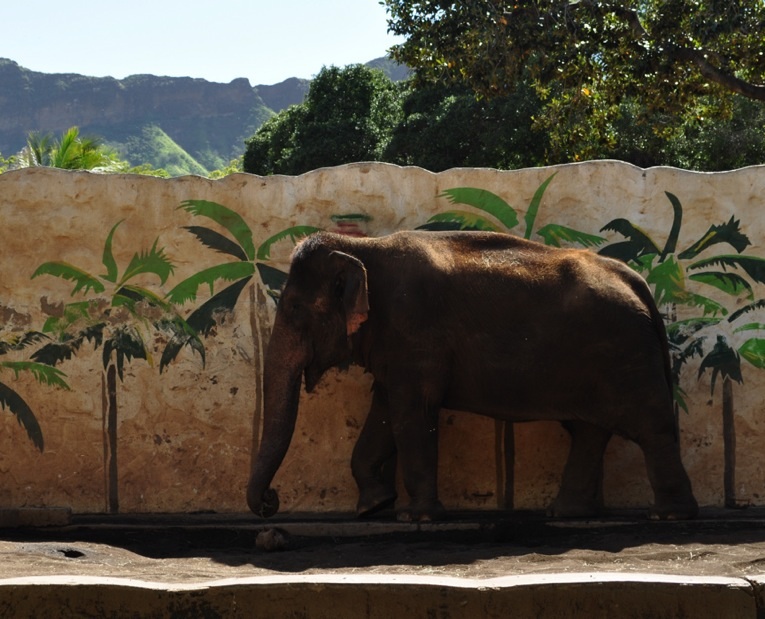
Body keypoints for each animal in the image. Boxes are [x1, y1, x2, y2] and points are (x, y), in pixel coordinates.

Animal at [246, 230, 698, 522]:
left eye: (294, 310)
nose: (271, 502)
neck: (363, 247)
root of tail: (635, 281)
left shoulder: (415, 330)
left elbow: (412, 413)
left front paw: (416, 517)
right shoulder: (398, 346)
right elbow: (386, 410)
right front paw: (374, 505)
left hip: (626, 354)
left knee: (651, 427)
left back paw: (670, 517)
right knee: (589, 431)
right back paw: (565, 514)